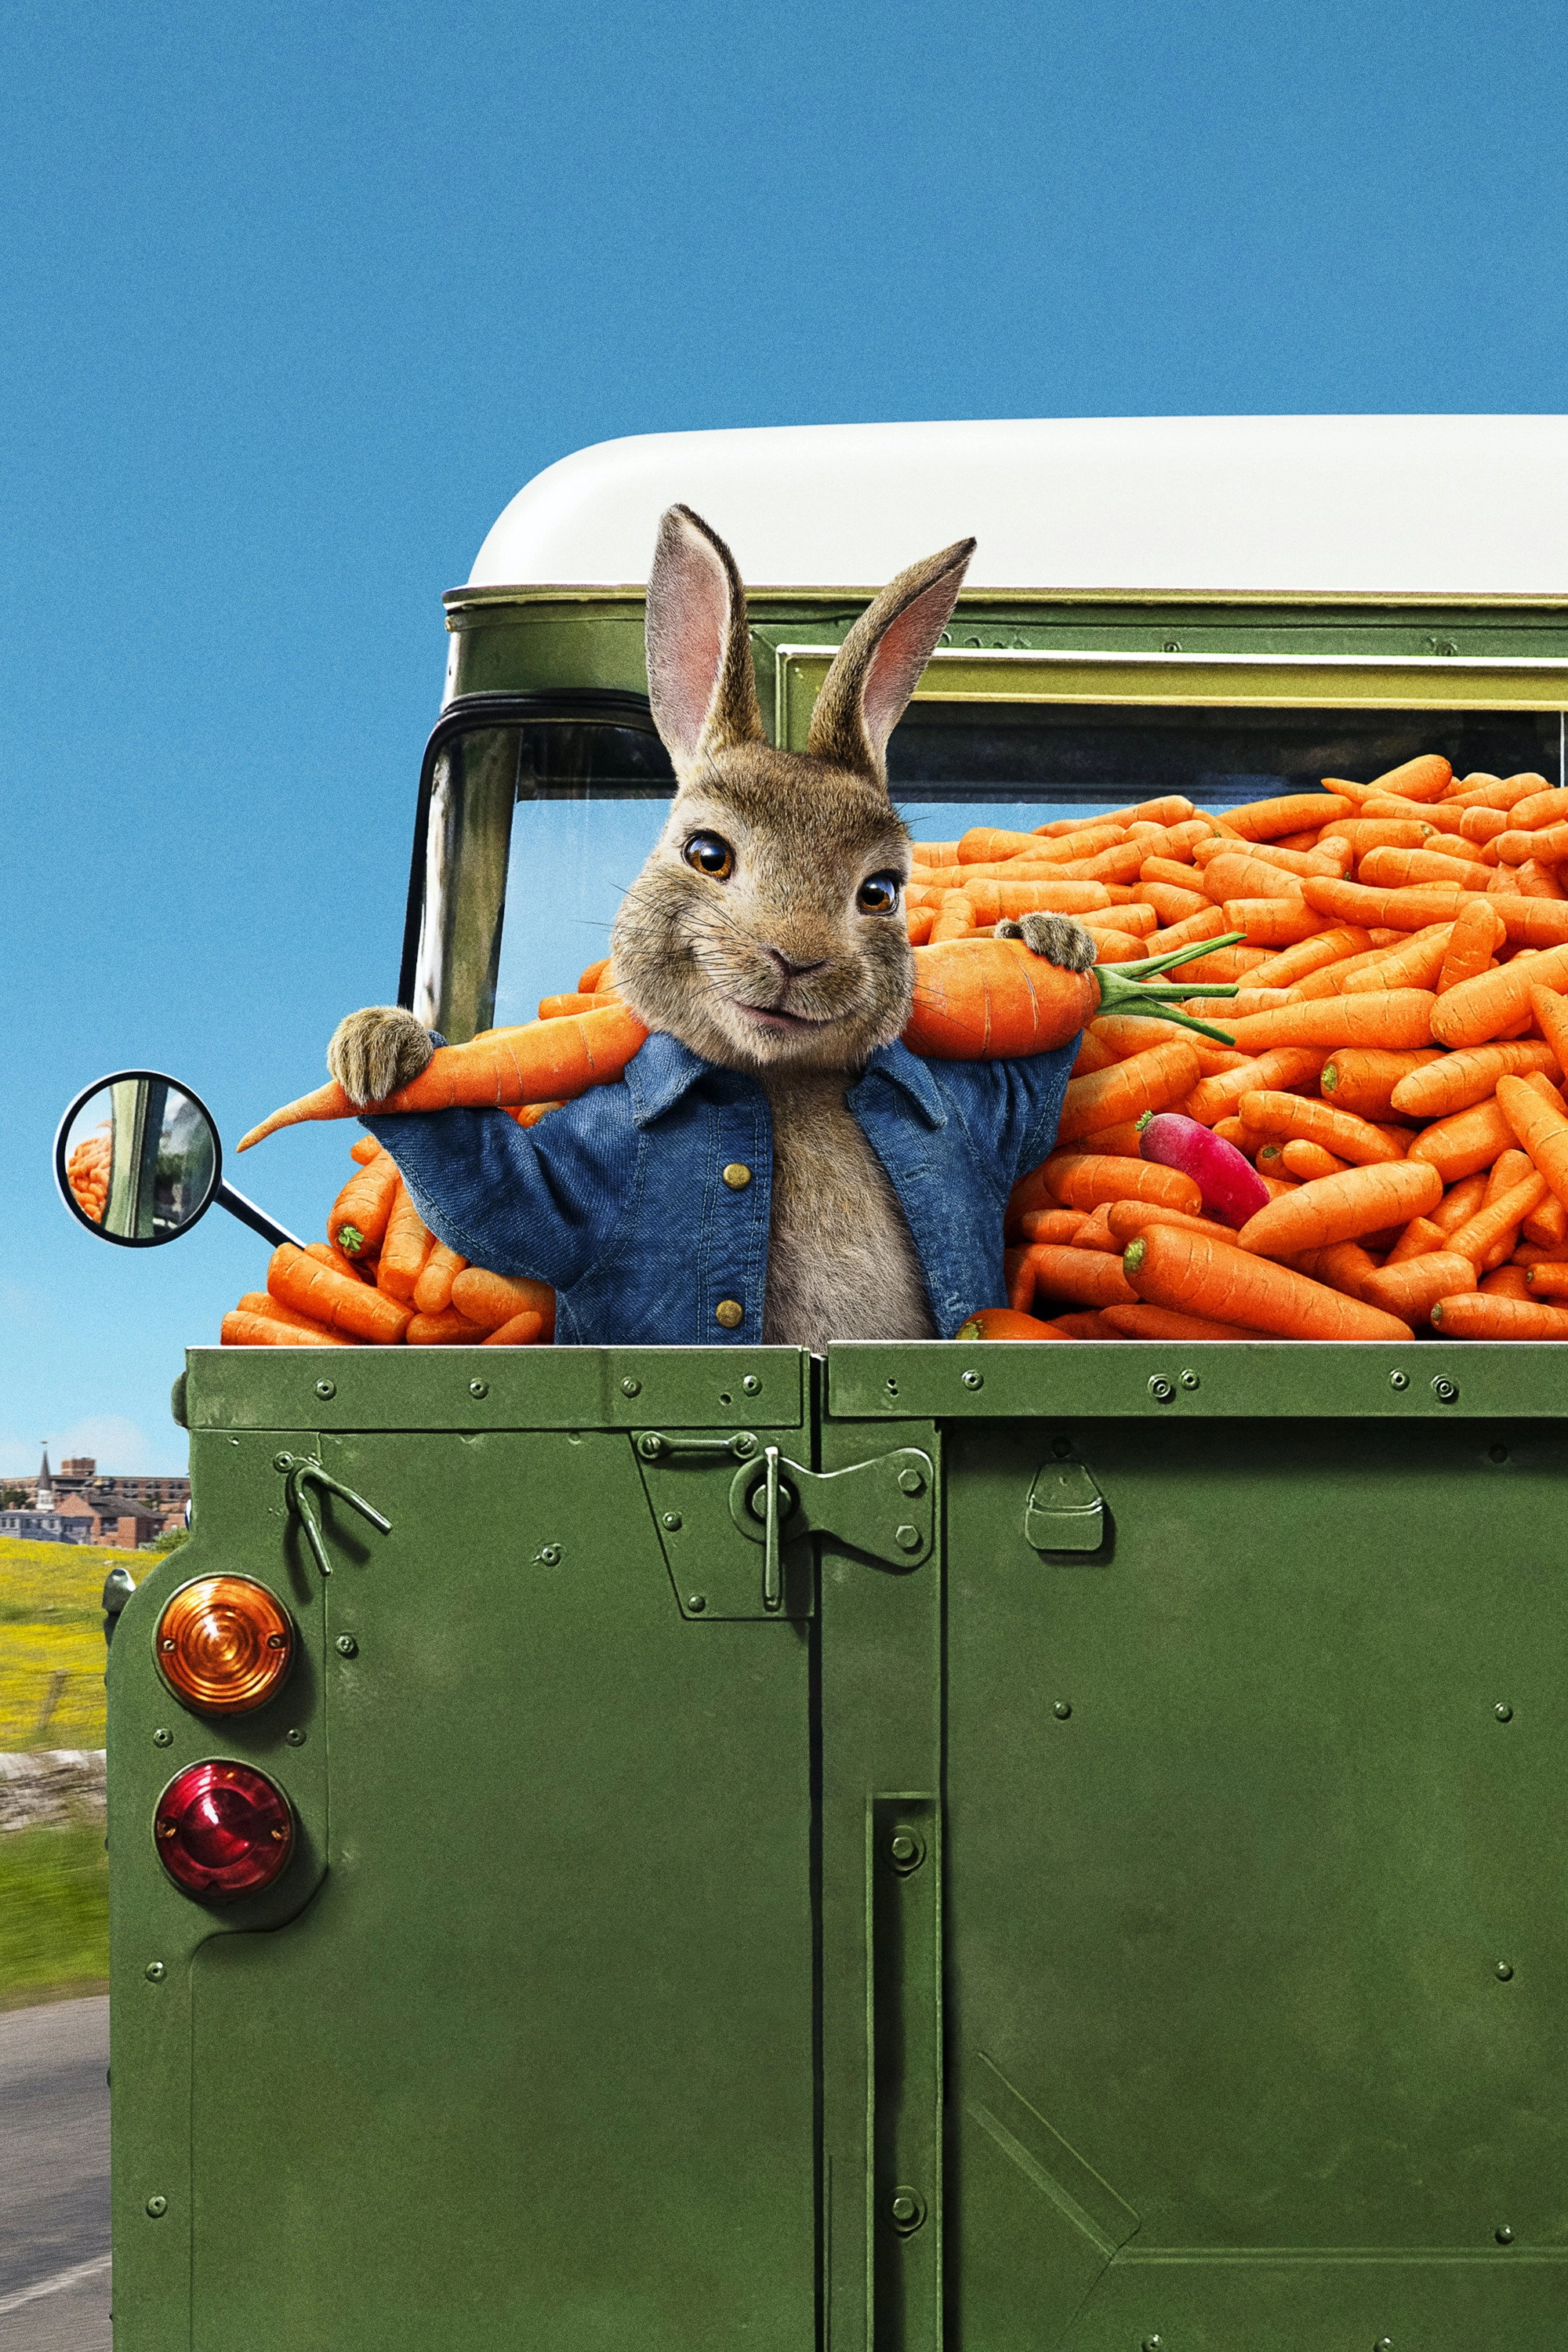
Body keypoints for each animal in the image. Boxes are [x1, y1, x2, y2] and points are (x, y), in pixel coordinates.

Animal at [330, 506, 1096, 1351]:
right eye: (706, 854)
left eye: (880, 892)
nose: (796, 959)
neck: (783, 1080)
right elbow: (504, 1200)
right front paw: (378, 1046)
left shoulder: (974, 1122)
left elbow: (1026, 1104)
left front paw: (1051, 939)